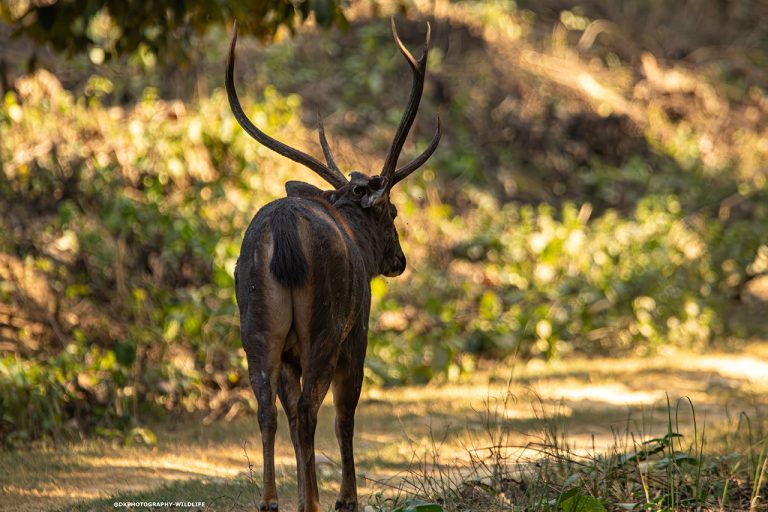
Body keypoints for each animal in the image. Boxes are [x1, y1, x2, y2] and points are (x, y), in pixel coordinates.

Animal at [227, 18, 440, 512]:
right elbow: (345, 416)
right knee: (311, 409)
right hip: (325, 324)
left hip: (257, 325)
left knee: (269, 408)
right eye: (393, 212)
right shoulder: (358, 331)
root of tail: (284, 232)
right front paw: (346, 498)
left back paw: (271, 500)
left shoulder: (286, 350)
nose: (399, 260)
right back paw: (316, 502)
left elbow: (287, 413)